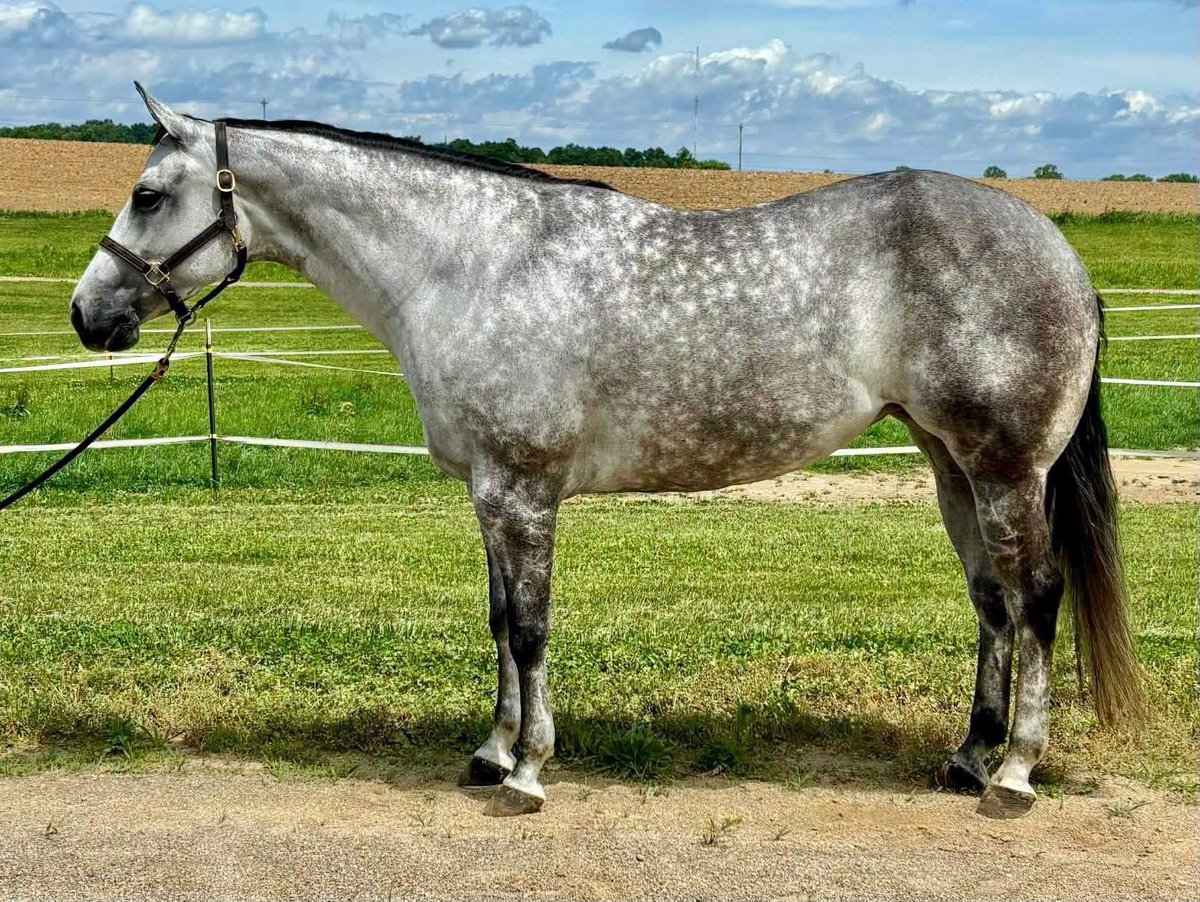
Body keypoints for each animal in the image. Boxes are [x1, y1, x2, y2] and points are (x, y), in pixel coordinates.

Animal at [70, 85, 1143, 819]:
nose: (89, 315)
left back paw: (1015, 772)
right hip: (948, 463)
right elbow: (499, 620)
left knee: (1035, 597)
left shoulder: (524, 489)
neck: (469, 265)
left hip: (1006, 470)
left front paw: (530, 773)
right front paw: (492, 753)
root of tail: (1057, 250)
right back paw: (966, 758)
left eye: (149, 194)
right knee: (990, 601)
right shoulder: (491, 493)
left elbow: (530, 629)